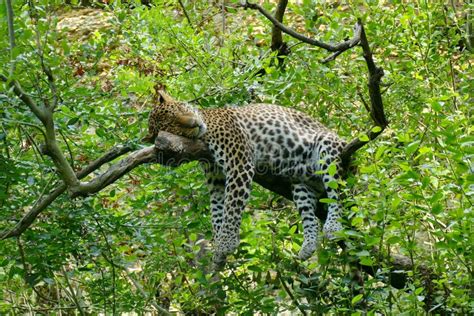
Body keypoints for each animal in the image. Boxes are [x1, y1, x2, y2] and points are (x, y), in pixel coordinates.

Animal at [143, 90, 346, 266]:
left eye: (181, 109)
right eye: (174, 127)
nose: (194, 123)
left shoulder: (238, 162)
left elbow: (232, 206)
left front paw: (226, 243)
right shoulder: (216, 178)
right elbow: (217, 210)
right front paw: (219, 248)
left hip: (328, 146)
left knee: (337, 194)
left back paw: (333, 227)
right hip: (301, 184)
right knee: (310, 214)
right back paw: (308, 246)